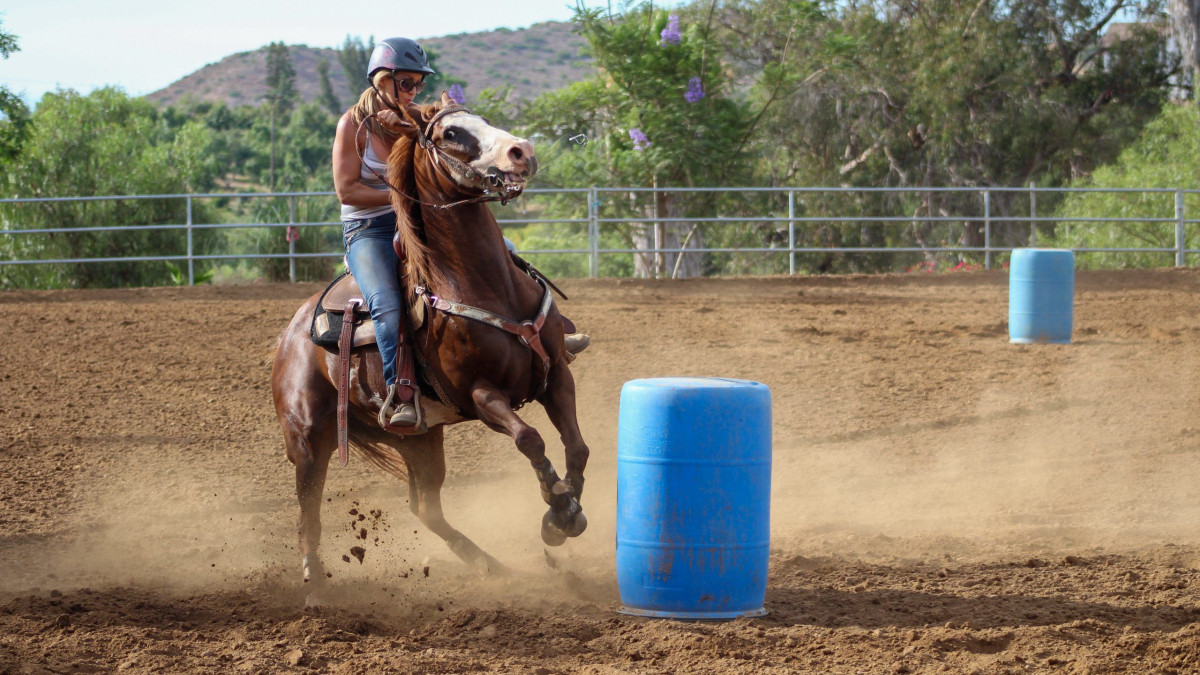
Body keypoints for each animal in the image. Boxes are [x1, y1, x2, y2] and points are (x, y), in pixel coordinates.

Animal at [272, 91, 590, 590]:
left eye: (482, 118)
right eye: (451, 133)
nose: (522, 151)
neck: (487, 284)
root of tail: (289, 337)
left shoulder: (556, 373)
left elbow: (576, 445)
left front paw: (567, 513)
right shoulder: (481, 395)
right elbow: (530, 439)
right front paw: (557, 509)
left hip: (419, 439)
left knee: (426, 507)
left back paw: (490, 564)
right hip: (307, 437)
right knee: (308, 511)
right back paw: (316, 585)